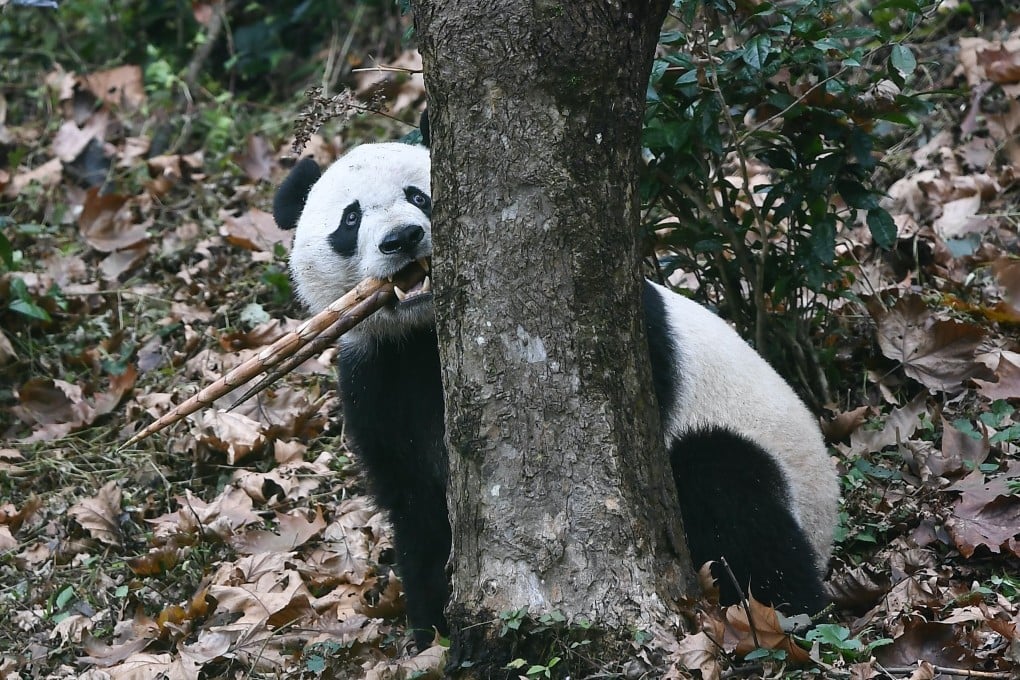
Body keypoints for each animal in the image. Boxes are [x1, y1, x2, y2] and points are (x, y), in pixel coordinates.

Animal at [273, 141, 840, 649]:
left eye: (420, 196)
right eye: (350, 219)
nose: (402, 238)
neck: (421, 333)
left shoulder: (625, 331)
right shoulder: (378, 381)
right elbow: (417, 506)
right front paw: (430, 632)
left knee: (730, 491)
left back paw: (787, 616)